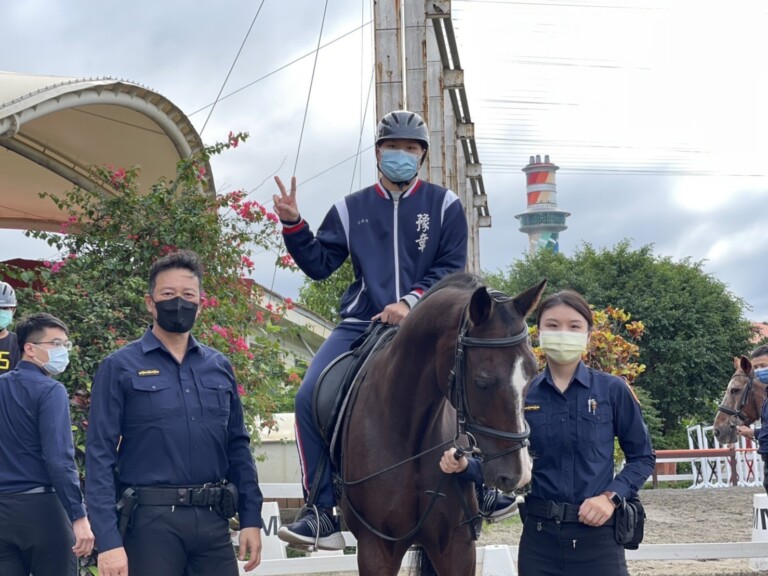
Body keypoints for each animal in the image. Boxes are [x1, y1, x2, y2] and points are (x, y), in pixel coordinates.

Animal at [338, 272, 544, 572]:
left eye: (532, 374)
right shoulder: (374, 547)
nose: (520, 474)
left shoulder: (456, 545)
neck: (408, 432)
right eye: (482, 382)